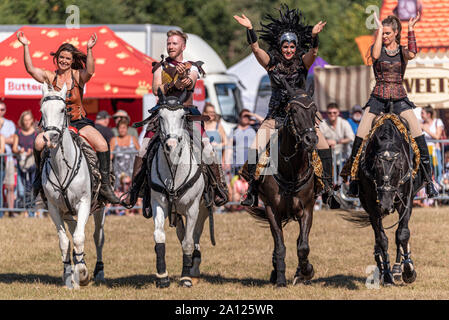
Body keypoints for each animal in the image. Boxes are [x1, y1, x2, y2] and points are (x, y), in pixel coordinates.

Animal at [39, 84, 106, 288]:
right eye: (42, 111)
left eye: (62, 110)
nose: (51, 137)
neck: (62, 167)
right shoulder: (54, 208)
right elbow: (64, 241)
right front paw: (69, 273)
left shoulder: (84, 203)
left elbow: (78, 237)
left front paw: (82, 273)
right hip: (67, 212)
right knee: (74, 227)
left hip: (100, 208)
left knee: (97, 237)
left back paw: (98, 271)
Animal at [149, 92, 214, 288]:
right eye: (160, 117)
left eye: (182, 117)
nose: (171, 145)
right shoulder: (159, 204)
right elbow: (160, 237)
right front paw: (162, 276)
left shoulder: (193, 207)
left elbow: (188, 242)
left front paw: (186, 277)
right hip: (177, 212)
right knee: (182, 233)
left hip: (202, 210)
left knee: (195, 236)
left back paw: (194, 268)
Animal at [243, 89, 320, 288]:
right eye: (292, 111)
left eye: (314, 111)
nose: (311, 139)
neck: (290, 169)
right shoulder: (272, 209)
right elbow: (279, 246)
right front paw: (280, 279)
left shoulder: (307, 208)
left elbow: (303, 246)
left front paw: (306, 272)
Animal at [344, 115, 424, 284]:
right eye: (375, 166)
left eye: (399, 166)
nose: (386, 205)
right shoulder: (372, 206)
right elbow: (381, 239)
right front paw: (386, 274)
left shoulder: (406, 202)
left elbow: (402, 234)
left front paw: (408, 271)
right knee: (378, 238)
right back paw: (382, 265)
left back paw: (397, 268)